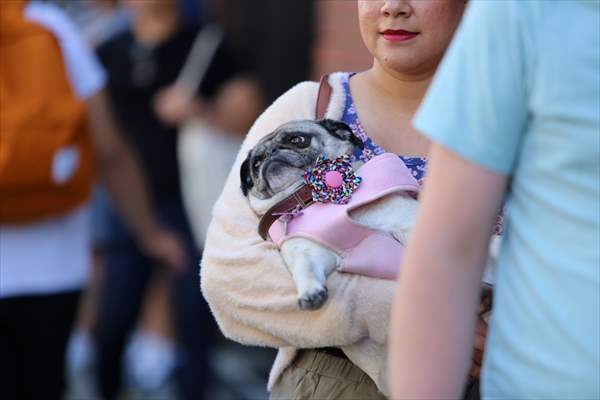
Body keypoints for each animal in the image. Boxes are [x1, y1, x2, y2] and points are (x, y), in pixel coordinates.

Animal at [240, 119, 422, 310]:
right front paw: (310, 291)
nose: (271, 153)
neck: (310, 196)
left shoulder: (403, 219)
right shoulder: (306, 250)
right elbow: (304, 267)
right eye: (256, 164)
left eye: (297, 140)